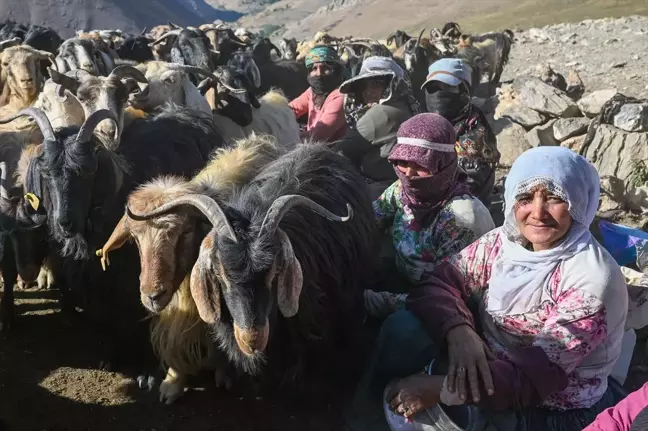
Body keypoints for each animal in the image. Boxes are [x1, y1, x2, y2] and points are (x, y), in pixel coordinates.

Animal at [97, 135, 280, 404]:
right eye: (136, 239)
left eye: (184, 233)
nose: (152, 296)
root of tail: (261, 140)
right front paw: (172, 382)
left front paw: (223, 374)